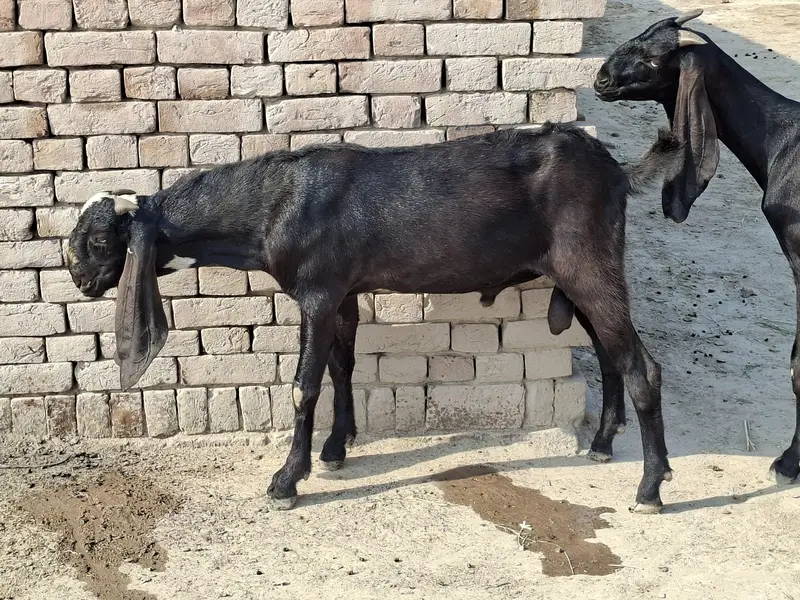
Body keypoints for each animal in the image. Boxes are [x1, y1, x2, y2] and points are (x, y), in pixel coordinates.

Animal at [66, 123, 680, 512]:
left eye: (98, 240)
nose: (77, 278)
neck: (273, 207)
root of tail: (616, 170)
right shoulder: (343, 292)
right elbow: (343, 368)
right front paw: (338, 449)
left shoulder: (316, 291)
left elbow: (304, 385)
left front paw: (287, 480)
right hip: (578, 274)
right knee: (609, 353)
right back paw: (604, 444)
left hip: (588, 263)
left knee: (641, 365)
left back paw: (650, 488)